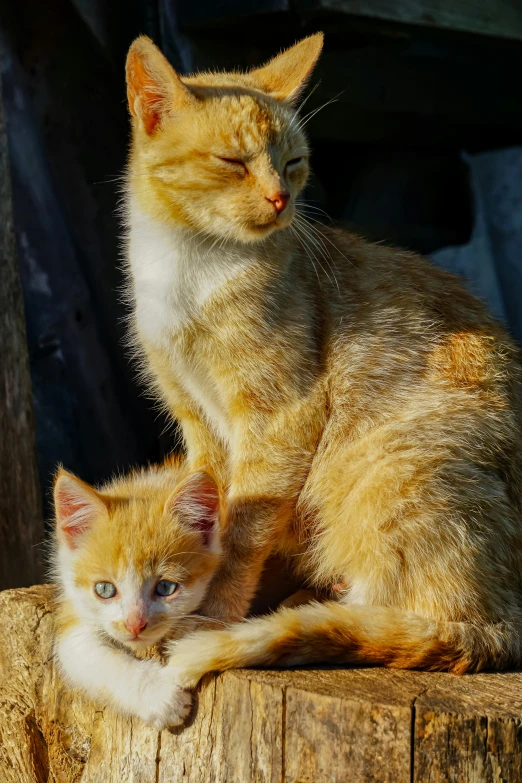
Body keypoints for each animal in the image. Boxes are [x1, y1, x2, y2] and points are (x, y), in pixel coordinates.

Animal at [50, 460, 217, 728]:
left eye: (165, 587)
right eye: (104, 589)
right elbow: (86, 652)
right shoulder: (73, 605)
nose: (134, 624)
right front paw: (160, 697)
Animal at [121, 30, 520, 704]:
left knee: (431, 619)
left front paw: (214, 614)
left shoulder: (279, 417)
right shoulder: (197, 422)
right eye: (233, 162)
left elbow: (241, 533)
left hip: (397, 468)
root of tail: (506, 629)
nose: (281, 198)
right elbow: (205, 517)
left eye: (293, 163)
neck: (190, 267)